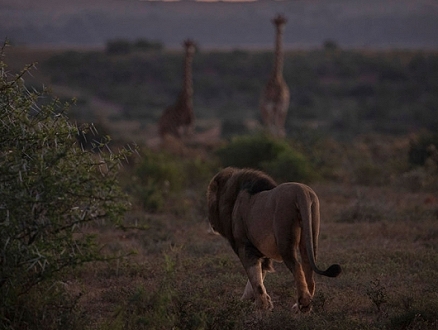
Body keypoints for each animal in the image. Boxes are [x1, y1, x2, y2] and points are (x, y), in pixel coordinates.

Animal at [207, 168, 340, 312]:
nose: (211, 222)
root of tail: (301, 191)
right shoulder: (260, 252)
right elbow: (259, 275)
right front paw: (253, 301)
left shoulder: (244, 246)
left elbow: (254, 277)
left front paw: (261, 305)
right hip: (310, 236)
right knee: (308, 268)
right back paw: (303, 306)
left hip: (284, 240)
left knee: (296, 266)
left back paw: (303, 303)